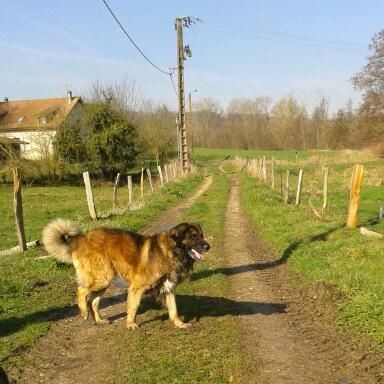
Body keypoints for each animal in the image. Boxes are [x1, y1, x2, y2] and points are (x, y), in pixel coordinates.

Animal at [42, 219, 210, 330]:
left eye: (202, 235)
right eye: (193, 237)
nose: (208, 246)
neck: (170, 251)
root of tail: (82, 237)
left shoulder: (168, 287)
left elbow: (174, 309)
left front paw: (179, 324)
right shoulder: (137, 287)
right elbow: (133, 307)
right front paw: (131, 324)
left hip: (105, 280)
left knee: (94, 301)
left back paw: (99, 320)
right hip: (102, 277)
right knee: (81, 291)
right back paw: (83, 312)